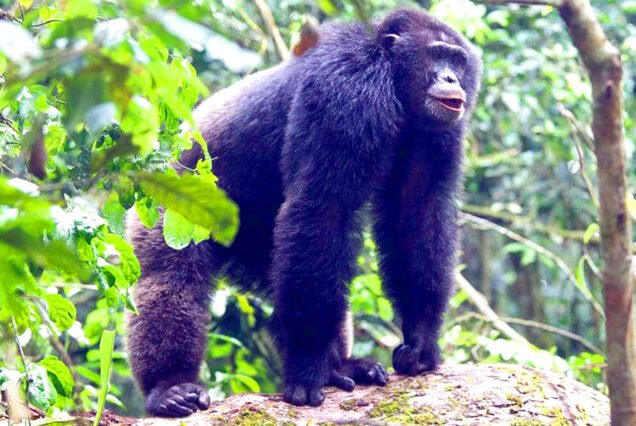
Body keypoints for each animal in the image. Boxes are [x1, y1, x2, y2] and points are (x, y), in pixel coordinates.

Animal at [126, 8, 482, 416]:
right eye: (437, 55)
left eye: (457, 60)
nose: (450, 77)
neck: (392, 79)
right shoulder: (346, 91)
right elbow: (323, 208)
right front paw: (309, 370)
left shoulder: (438, 134)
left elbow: (418, 213)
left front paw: (421, 341)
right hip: (165, 203)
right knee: (170, 279)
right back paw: (170, 387)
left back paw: (342, 365)